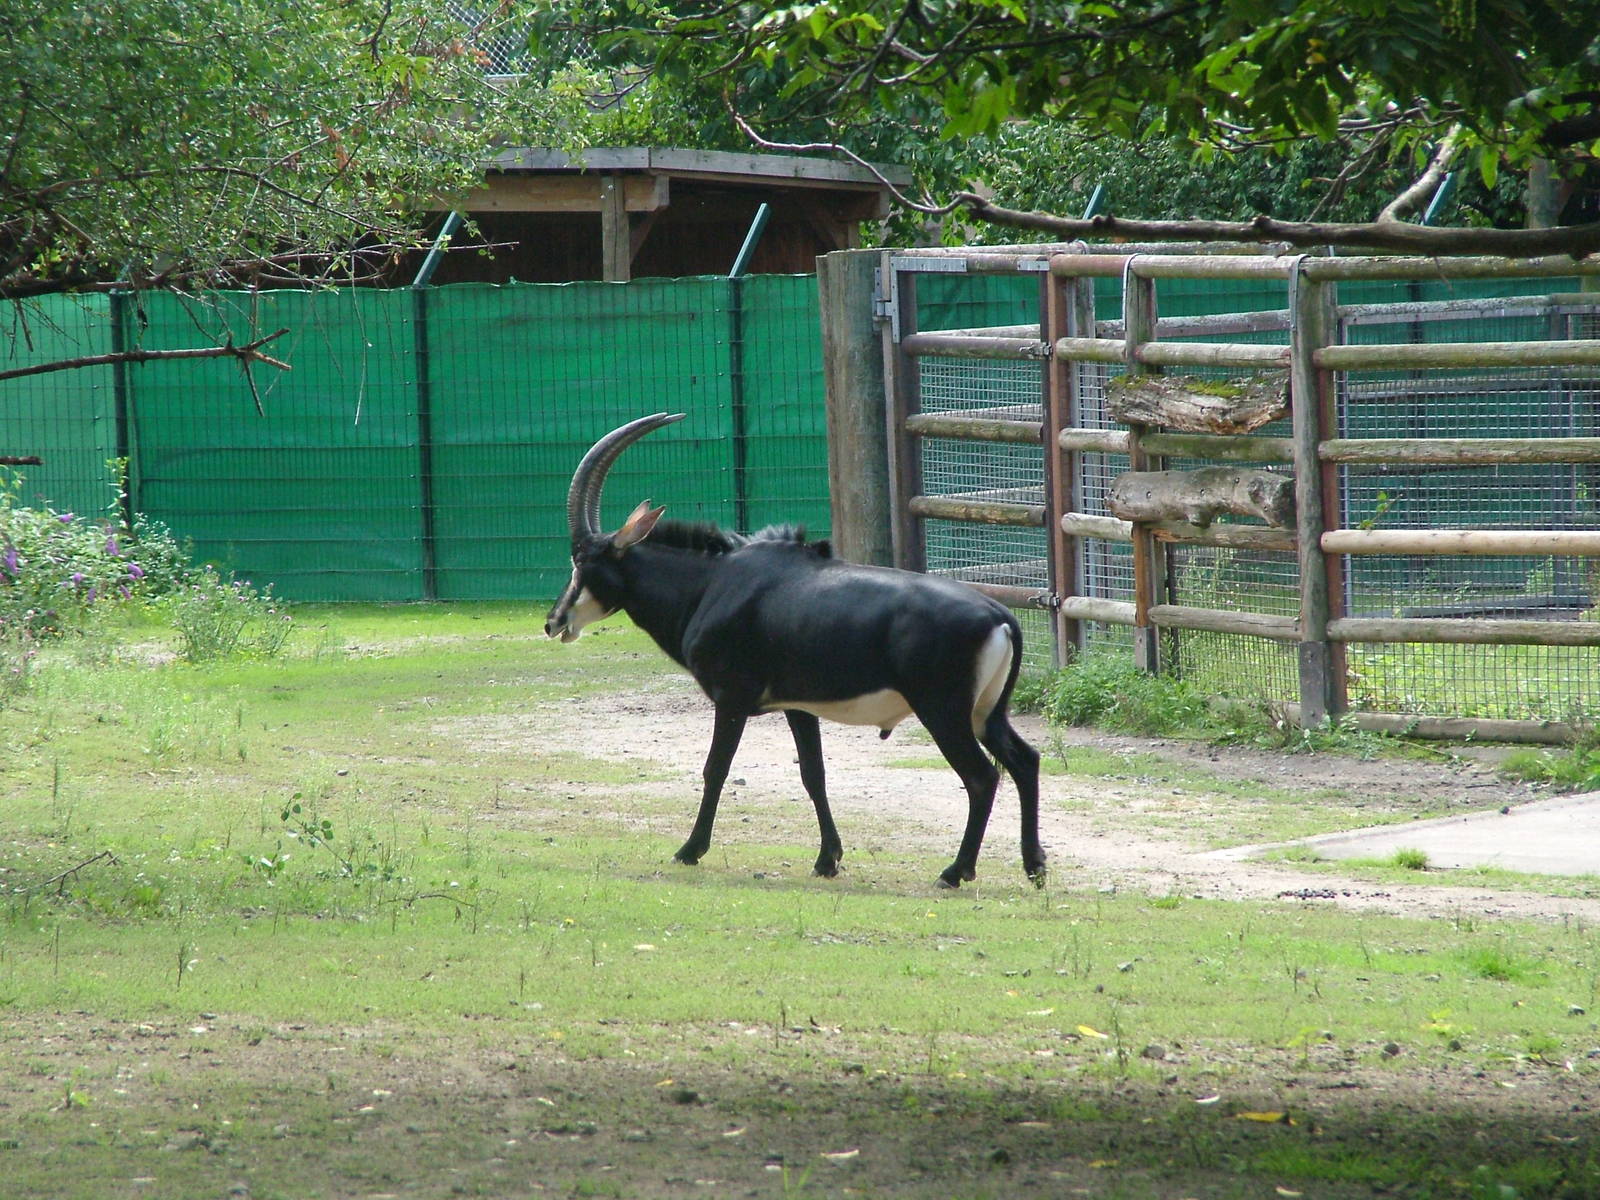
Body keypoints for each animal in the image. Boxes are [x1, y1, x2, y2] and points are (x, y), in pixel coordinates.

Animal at [545, 412, 1043, 888]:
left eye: (581, 560)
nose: (554, 622)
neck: (710, 584)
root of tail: (1000, 616)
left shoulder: (732, 698)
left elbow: (715, 769)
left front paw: (689, 850)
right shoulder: (798, 706)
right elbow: (813, 774)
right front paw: (827, 860)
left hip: (943, 711)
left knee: (981, 777)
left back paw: (955, 872)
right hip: (985, 714)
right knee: (1024, 761)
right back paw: (1034, 866)